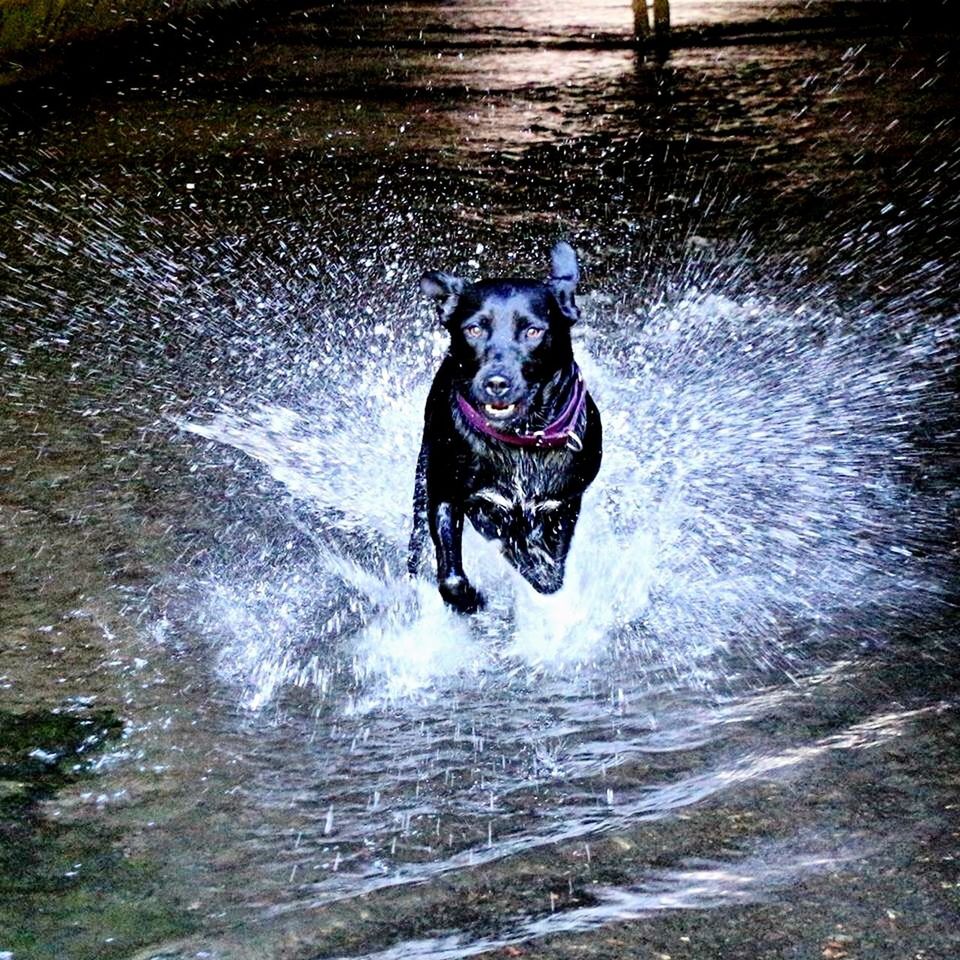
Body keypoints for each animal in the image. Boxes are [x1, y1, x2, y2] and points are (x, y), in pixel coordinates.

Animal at [408, 242, 604, 616]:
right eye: (473, 329)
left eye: (533, 331)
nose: (497, 382)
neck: (521, 439)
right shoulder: (448, 496)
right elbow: (451, 574)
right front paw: (469, 600)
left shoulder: (564, 505)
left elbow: (547, 572)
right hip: (424, 478)